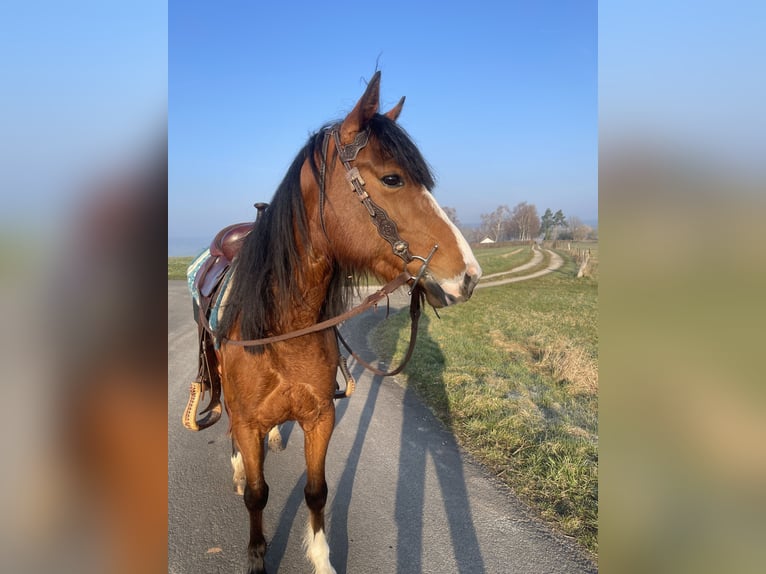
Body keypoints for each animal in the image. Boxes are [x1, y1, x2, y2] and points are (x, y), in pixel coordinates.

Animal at [201, 72, 481, 574]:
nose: (469, 275)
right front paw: (256, 555)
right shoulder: (249, 422)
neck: (281, 329)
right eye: (392, 178)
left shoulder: (320, 418)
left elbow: (316, 492)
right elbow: (257, 495)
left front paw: (321, 559)